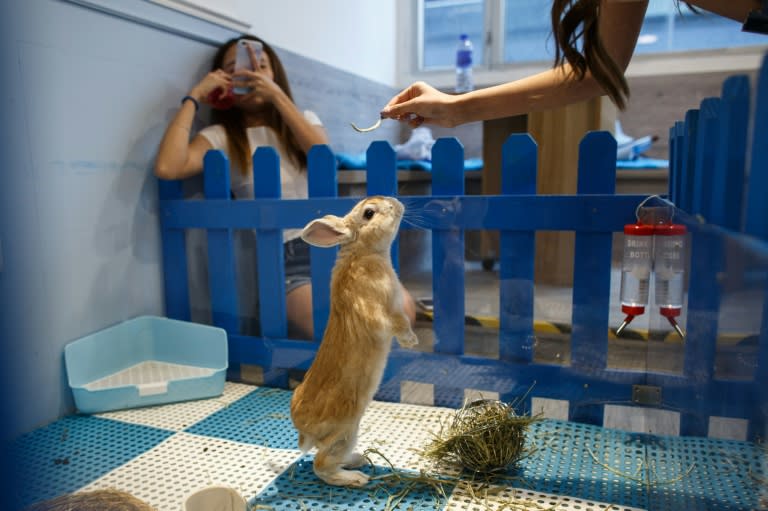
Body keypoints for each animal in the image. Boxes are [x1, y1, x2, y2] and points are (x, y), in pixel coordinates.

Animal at [290, 196, 420, 488]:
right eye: (369, 213)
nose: (396, 203)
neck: (363, 253)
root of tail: (300, 426)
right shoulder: (382, 312)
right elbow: (399, 323)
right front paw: (411, 342)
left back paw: (357, 459)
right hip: (345, 431)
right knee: (321, 464)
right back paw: (356, 478)